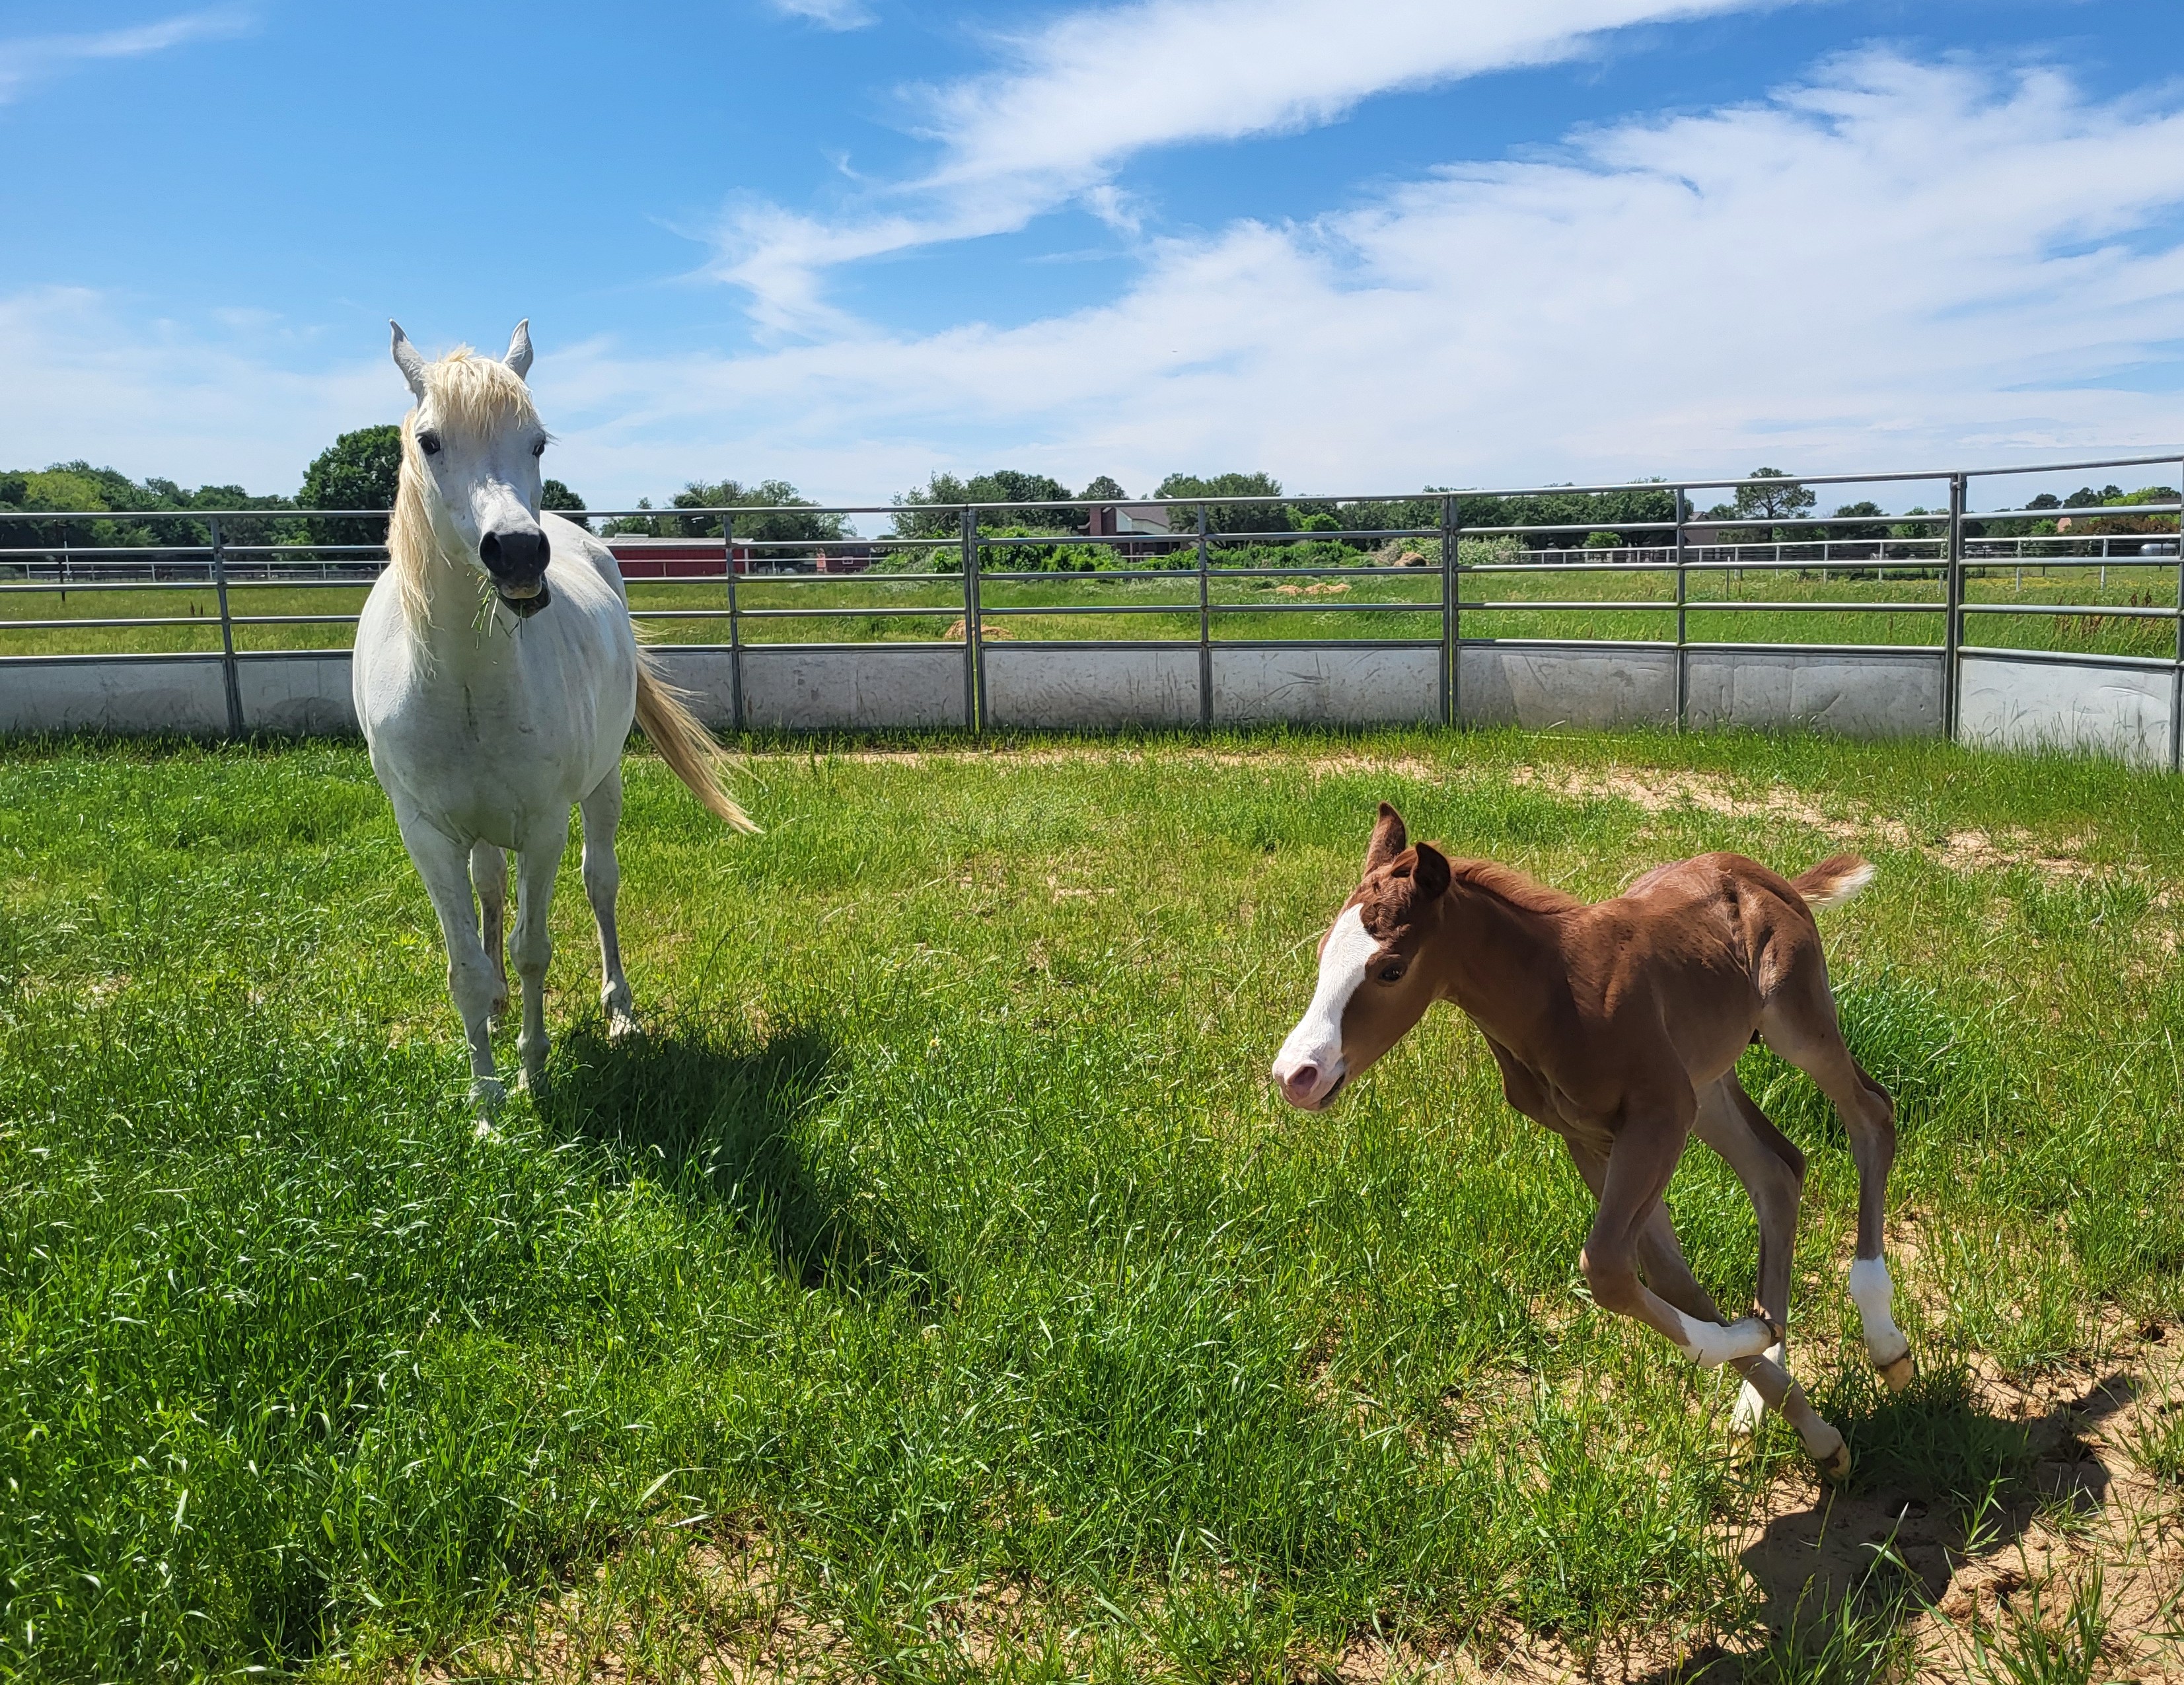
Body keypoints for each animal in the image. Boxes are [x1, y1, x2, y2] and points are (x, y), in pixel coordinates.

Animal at [353, 320, 756, 1110]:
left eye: (537, 442)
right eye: (430, 441)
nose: (516, 552)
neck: (467, 685)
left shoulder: (543, 827)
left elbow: (533, 949)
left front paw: (533, 1073)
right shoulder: (427, 835)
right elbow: (466, 965)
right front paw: (485, 1101)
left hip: (601, 789)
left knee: (600, 883)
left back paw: (620, 1010)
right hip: (480, 832)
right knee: (489, 892)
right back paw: (499, 1010)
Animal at [1270, 804, 1912, 1479]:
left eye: (1390, 969)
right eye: (1323, 954)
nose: (1296, 1075)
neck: (1556, 994)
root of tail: (1765, 875)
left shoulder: (1658, 1114)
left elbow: (1606, 1267)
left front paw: (1760, 1343)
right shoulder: (1593, 1137)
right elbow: (1662, 1274)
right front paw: (1807, 1416)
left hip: (1794, 1024)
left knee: (1871, 1113)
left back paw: (1886, 1342)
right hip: (1706, 1083)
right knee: (1777, 1170)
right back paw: (1758, 1397)